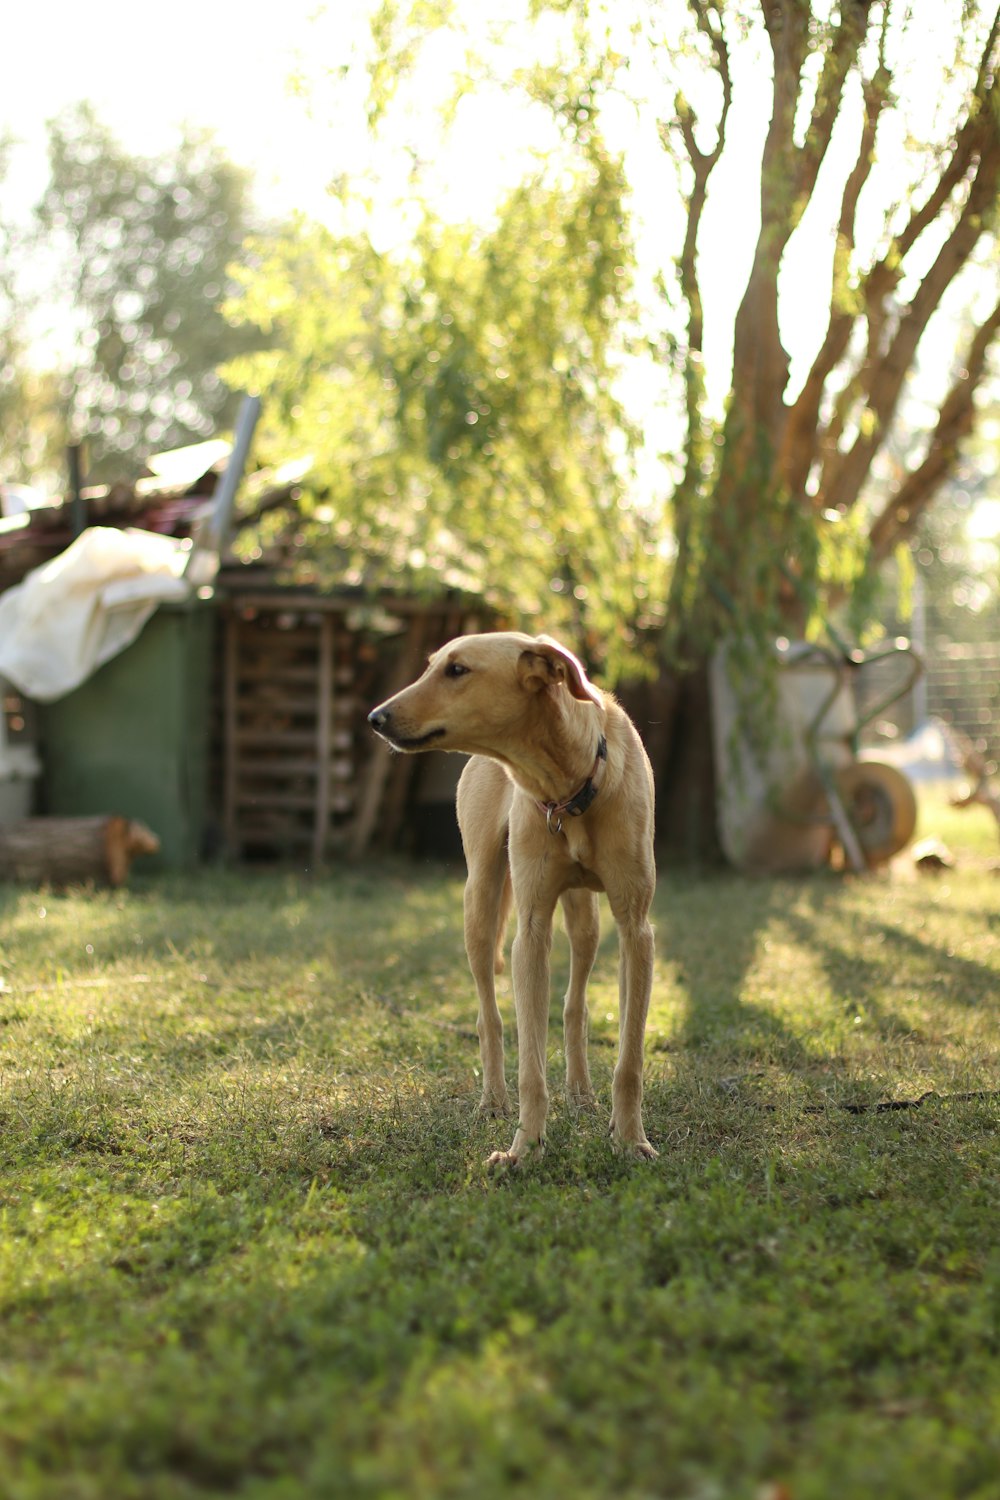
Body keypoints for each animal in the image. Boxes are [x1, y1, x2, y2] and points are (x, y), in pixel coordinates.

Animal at [367, 627, 656, 1164]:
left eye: (457, 670)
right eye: (432, 665)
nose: (375, 718)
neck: (571, 783)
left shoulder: (636, 928)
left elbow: (629, 1057)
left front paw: (629, 1139)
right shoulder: (531, 932)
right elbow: (531, 1066)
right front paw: (525, 1148)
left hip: (585, 921)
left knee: (574, 1005)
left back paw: (581, 1094)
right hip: (480, 905)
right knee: (490, 1019)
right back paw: (493, 1101)